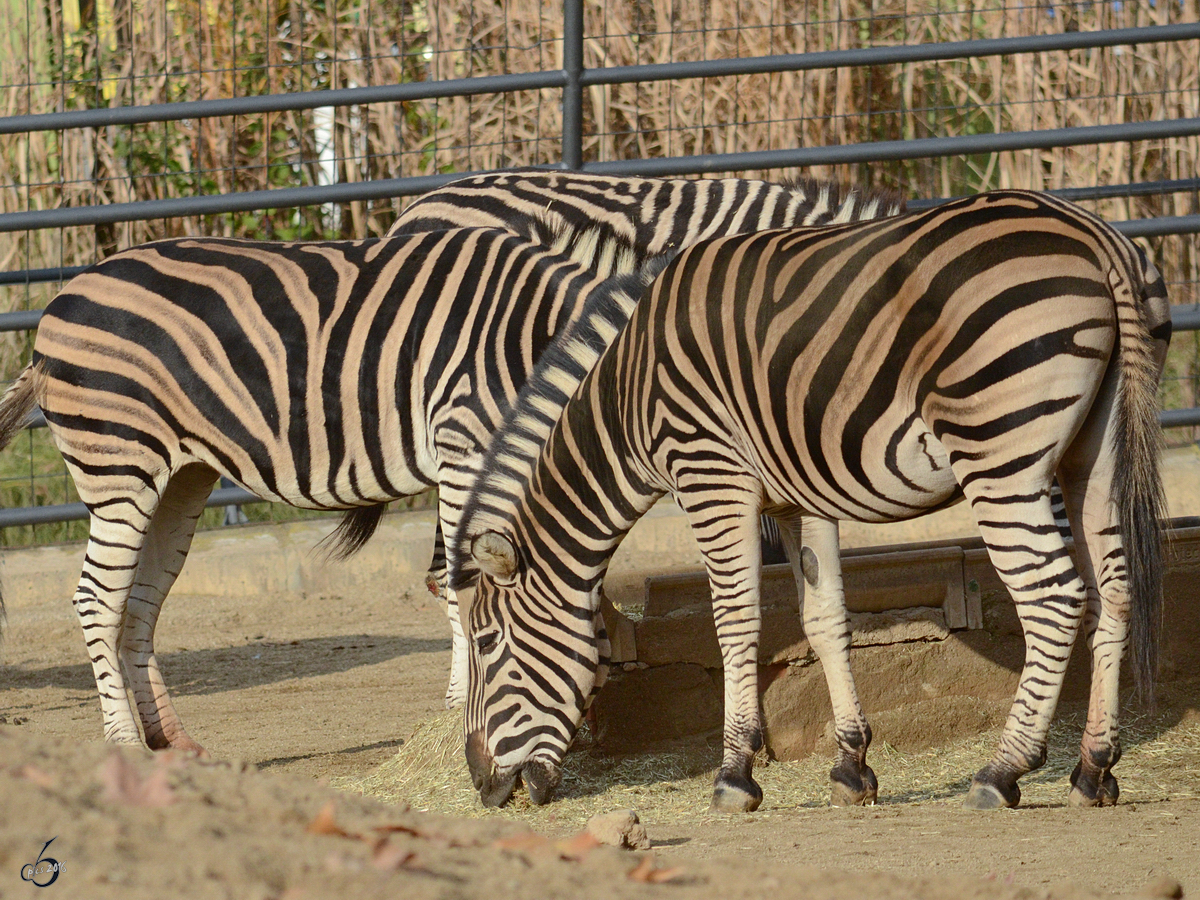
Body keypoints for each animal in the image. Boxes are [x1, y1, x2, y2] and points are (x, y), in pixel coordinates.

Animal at [0, 226, 662, 753]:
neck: (535, 339)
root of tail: (61, 300)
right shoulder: (466, 445)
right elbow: (463, 582)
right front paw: (462, 708)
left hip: (181, 478)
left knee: (137, 604)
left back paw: (172, 739)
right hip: (120, 466)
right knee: (97, 600)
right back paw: (125, 743)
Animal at [453, 188, 1166, 811]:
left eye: (488, 641)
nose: (482, 787)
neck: (627, 398)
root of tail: (1096, 237)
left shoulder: (711, 476)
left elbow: (735, 621)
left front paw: (735, 775)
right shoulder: (800, 497)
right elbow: (824, 619)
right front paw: (851, 767)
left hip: (999, 456)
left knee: (1053, 598)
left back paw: (1003, 771)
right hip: (1095, 454)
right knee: (1113, 590)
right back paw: (1094, 771)